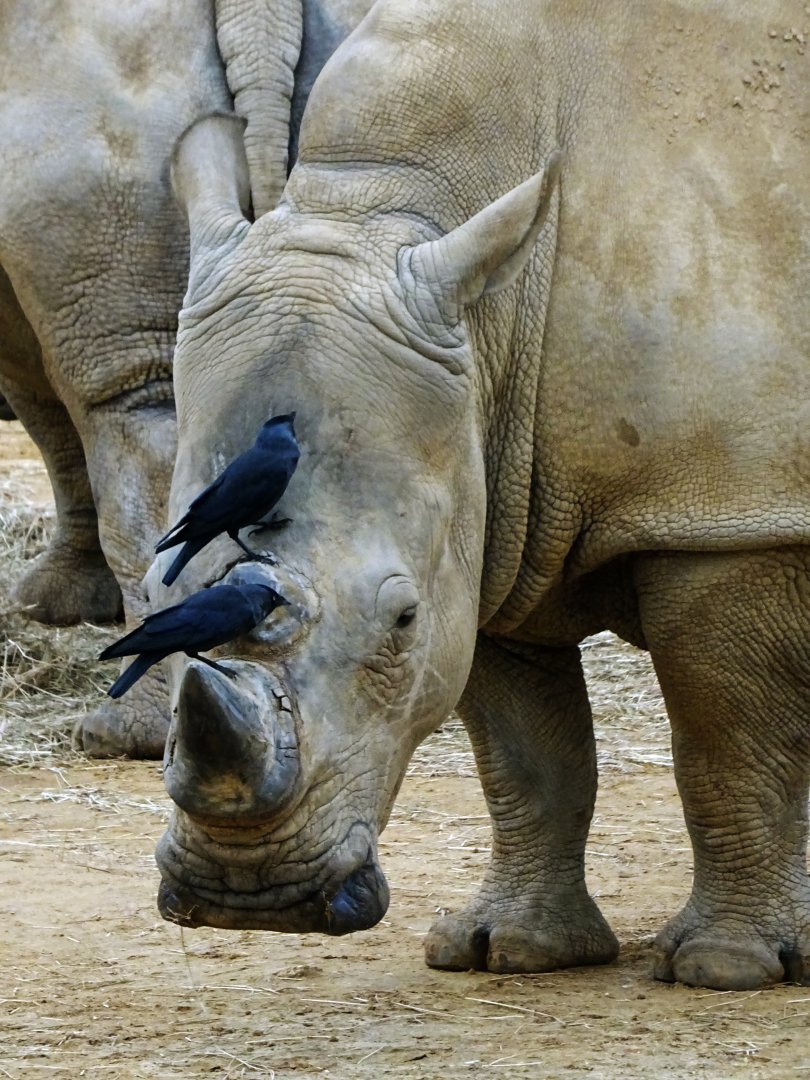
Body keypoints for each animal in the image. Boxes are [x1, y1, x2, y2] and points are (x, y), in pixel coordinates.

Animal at [0, 0, 370, 758]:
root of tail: (258, 15)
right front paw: (56, 604)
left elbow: (44, 404)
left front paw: (46, 605)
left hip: (87, 144)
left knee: (131, 411)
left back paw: (119, 735)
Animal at [153, 0, 810, 991]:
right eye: (154, 606)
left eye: (401, 621)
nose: (251, 899)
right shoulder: (487, 513)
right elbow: (525, 754)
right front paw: (509, 951)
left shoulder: (726, 518)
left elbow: (725, 742)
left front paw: (724, 968)